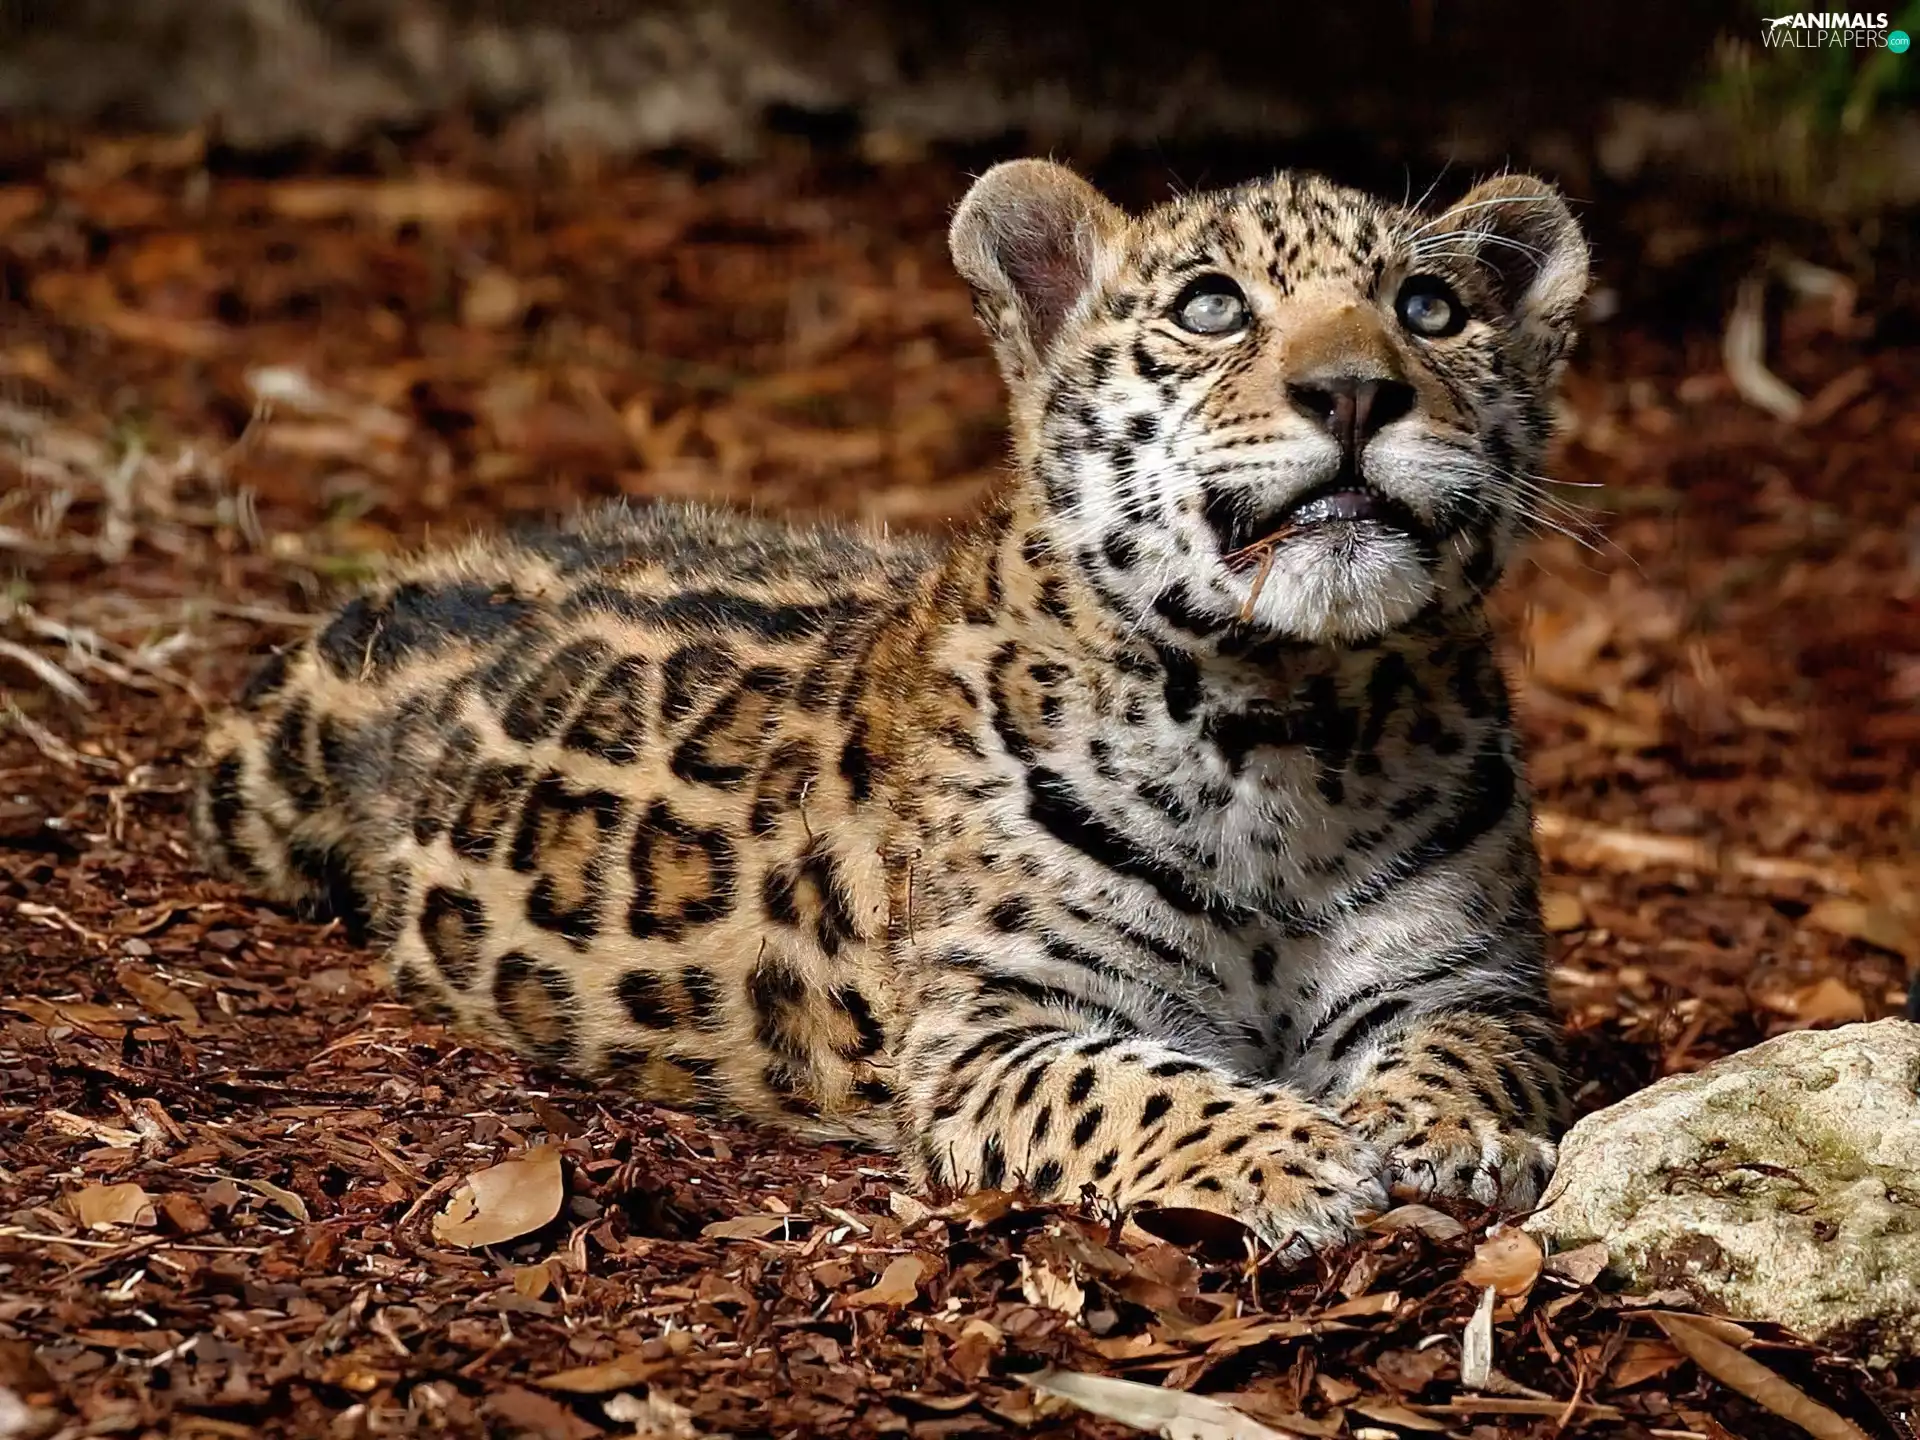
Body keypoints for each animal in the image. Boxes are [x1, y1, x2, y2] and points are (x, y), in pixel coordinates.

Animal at [193, 159, 1589, 1258]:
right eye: (1211, 307)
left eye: (1429, 309)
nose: (1355, 391)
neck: (1289, 729)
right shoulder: (992, 1031)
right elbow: (1138, 1089)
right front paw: (1297, 1157)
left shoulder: (1467, 979)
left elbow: (1476, 1049)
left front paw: (1437, 1131)